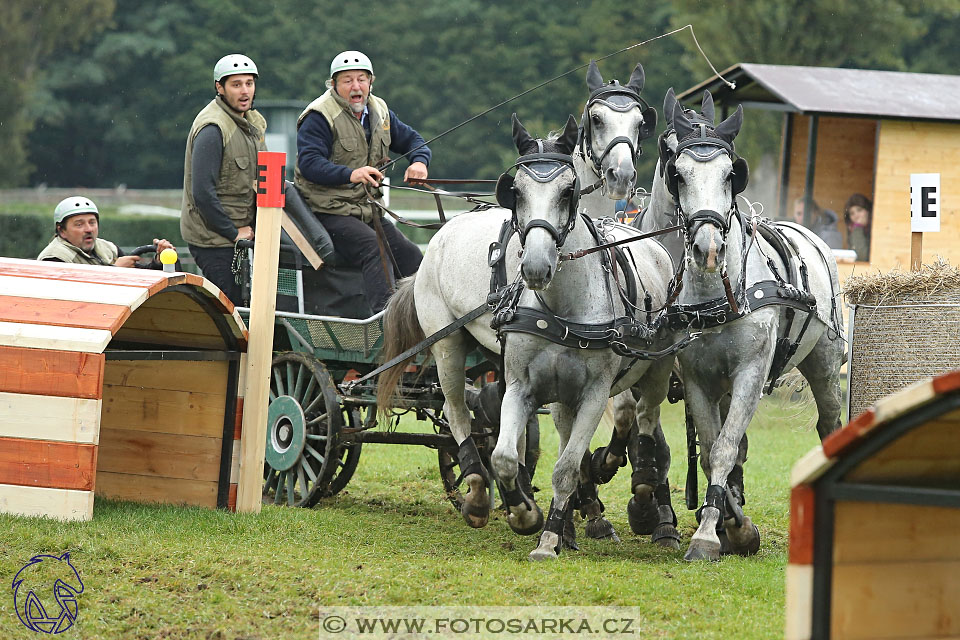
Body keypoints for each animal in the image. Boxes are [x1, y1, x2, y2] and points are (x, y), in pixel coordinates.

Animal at [376, 114, 676, 560]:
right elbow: (503, 455)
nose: (534, 265)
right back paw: (477, 492)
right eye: (515, 191)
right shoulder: (522, 384)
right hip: (447, 344)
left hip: (652, 372)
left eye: (569, 191)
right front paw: (525, 513)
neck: (563, 308)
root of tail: (442, 232)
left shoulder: (591, 393)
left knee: (644, 418)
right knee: (457, 413)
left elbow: (566, 464)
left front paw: (553, 531)